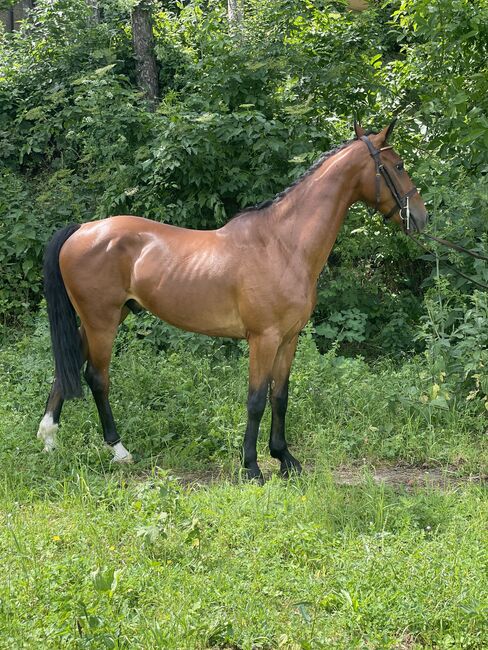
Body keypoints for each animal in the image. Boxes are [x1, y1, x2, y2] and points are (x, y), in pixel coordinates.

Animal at [37, 120, 428, 481]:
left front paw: (285, 459)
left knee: (64, 371)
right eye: (398, 166)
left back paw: (49, 440)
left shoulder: (289, 339)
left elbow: (280, 397)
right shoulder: (263, 339)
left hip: (103, 319)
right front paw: (252, 466)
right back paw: (118, 450)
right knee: (96, 377)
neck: (283, 245)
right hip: (101, 322)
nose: (422, 218)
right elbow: (255, 401)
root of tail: (83, 229)